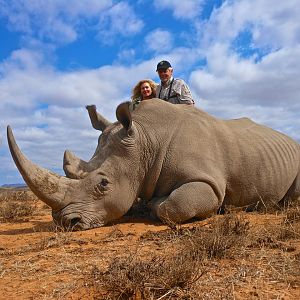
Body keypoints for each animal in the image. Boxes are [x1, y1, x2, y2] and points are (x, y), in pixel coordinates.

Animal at [7, 99, 300, 230]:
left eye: (103, 184)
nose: (64, 222)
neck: (146, 140)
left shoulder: (209, 182)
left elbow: (175, 205)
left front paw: (154, 205)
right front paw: (144, 205)